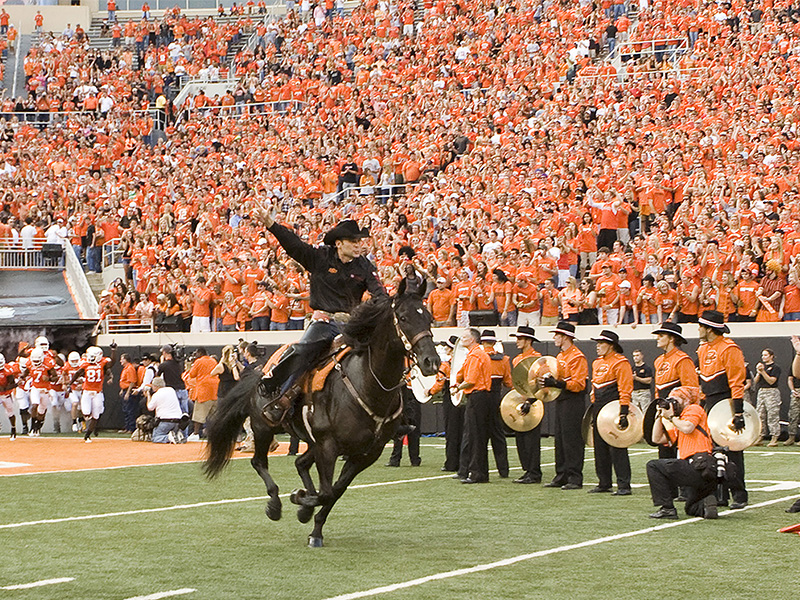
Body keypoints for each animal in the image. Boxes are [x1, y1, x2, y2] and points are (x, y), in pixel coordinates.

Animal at [200, 282, 438, 548]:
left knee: (300, 463)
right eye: (404, 318)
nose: (431, 361)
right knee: (259, 462)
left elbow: (334, 491)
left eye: (429, 318)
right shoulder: (328, 446)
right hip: (264, 426)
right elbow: (326, 492)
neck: (368, 384)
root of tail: (263, 370)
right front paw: (300, 501)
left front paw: (312, 522)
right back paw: (275, 505)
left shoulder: (365, 454)